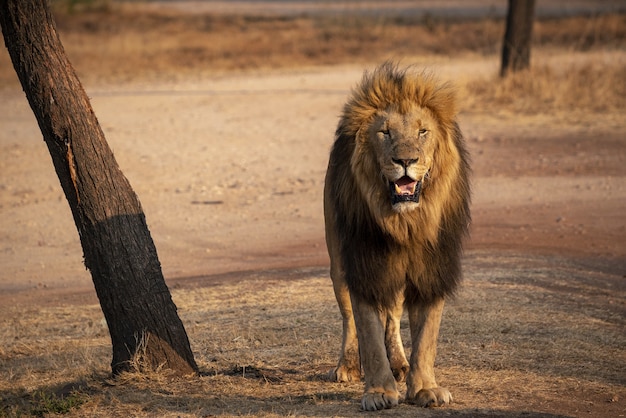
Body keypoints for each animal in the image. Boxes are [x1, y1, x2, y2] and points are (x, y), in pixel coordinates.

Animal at [322, 62, 468, 412]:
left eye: (422, 132)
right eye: (384, 132)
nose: (405, 161)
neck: (405, 223)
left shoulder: (431, 269)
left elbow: (426, 337)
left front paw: (425, 388)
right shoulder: (364, 264)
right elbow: (369, 334)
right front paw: (378, 393)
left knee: (393, 313)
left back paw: (400, 363)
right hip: (338, 262)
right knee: (348, 316)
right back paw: (347, 366)